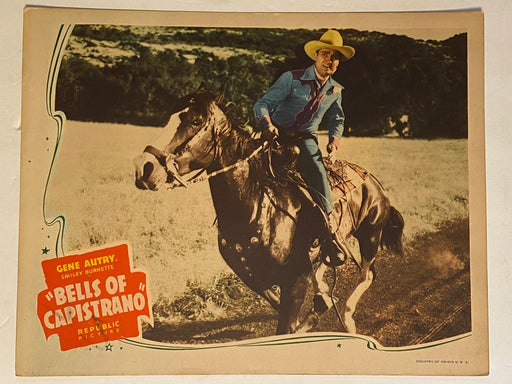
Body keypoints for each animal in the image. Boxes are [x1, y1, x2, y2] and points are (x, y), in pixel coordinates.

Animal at [133, 83, 404, 332]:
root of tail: (372, 181)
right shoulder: (255, 279)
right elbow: (283, 312)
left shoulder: (295, 278)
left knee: (367, 274)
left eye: (195, 121)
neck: (257, 209)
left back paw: (347, 318)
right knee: (327, 266)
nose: (144, 167)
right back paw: (324, 297)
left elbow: (287, 324)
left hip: (370, 235)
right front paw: (314, 313)